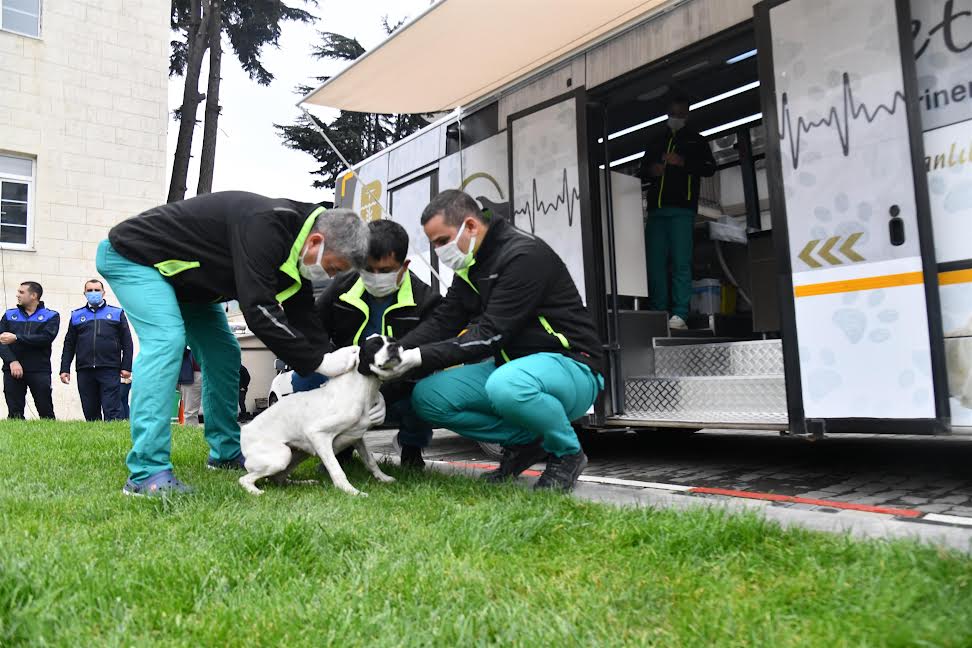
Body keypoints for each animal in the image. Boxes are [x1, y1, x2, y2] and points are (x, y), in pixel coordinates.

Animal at [239, 334, 402, 496]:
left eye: (393, 341)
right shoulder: (318, 434)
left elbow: (370, 461)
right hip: (281, 456)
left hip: (298, 453)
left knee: (278, 478)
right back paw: (255, 491)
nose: (395, 347)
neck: (363, 388)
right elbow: (336, 469)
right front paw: (351, 491)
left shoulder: (357, 437)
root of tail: (246, 430)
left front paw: (383, 478)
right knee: (244, 478)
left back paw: (303, 483)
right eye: (375, 345)